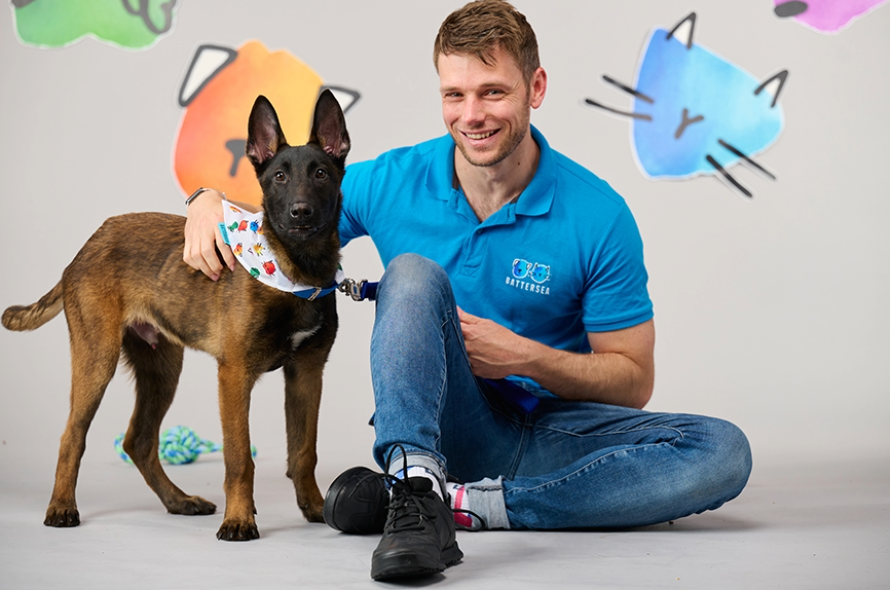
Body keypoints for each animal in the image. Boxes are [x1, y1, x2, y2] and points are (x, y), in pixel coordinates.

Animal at [1, 89, 348, 540]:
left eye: (321, 174)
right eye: (279, 178)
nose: (301, 212)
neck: (295, 270)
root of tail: (86, 247)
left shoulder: (307, 373)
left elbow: (304, 452)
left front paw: (317, 508)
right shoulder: (234, 374)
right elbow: (239, 456)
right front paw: (239, 519)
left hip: (162, 367)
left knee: (139, 442)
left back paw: (178, 501)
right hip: (98, 359)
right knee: (72, 435)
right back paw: (62, 507)